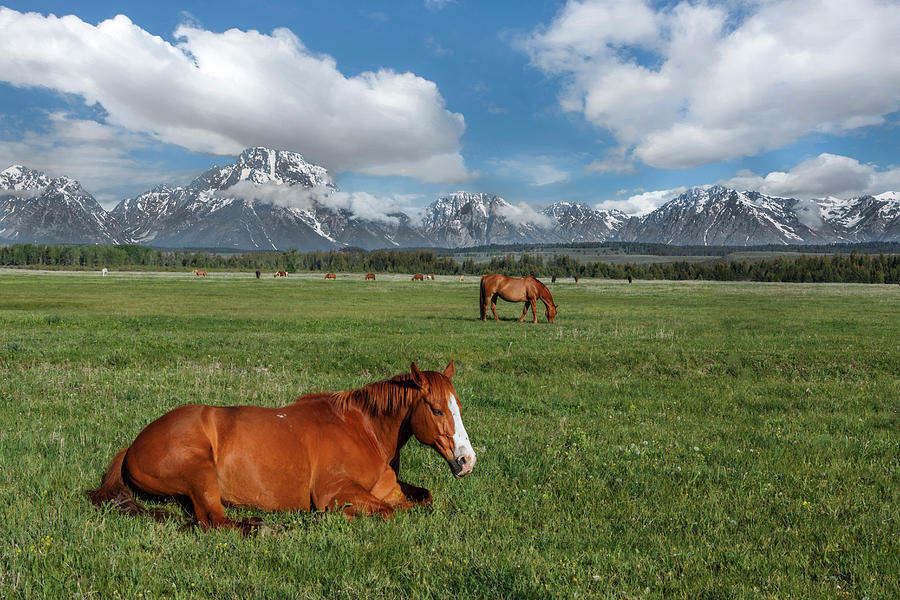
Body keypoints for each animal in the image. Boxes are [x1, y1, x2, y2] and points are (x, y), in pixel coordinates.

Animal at [88, 360, 474, 536]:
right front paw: (327, 517)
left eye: (457, 405)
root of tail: (134, 444)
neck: (363, 430)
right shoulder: (335, 491)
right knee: (213, 520)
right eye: (436, 409)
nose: (466, 460)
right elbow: (388, 512)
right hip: (200, 473)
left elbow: (422, 500)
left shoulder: (389, 490)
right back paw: (264, 527)